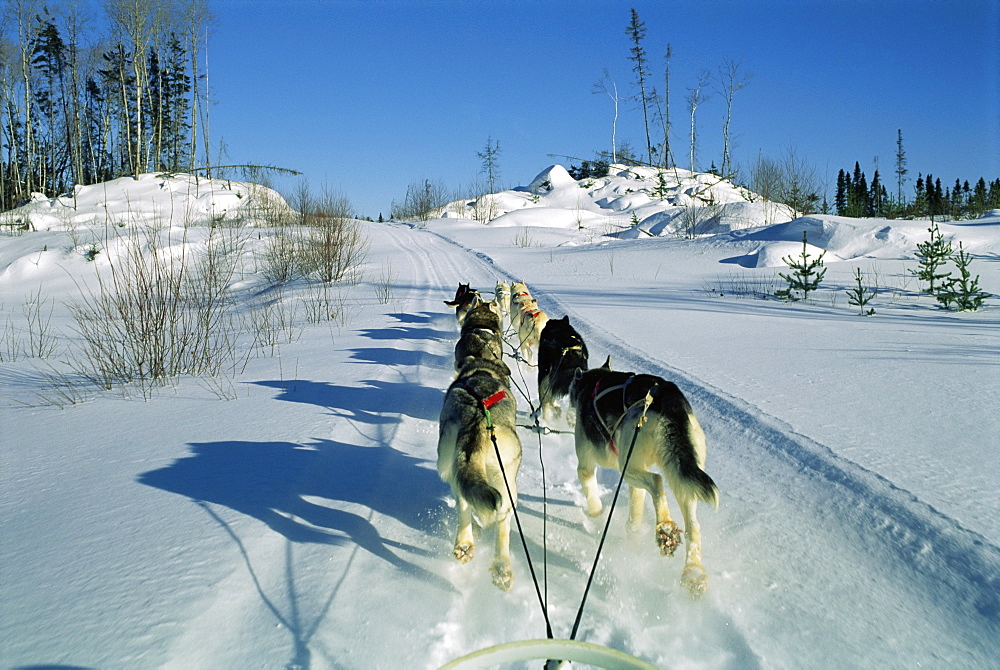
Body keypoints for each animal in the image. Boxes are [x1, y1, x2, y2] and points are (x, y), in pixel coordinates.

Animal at [438, 360, 524, 592]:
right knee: (503, 522)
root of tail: (477, 420)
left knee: (463, 504)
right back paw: (502, 567)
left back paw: (465, 544)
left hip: (451, 464)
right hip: (508, 482)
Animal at [572, 360, 720, 600]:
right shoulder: (636, 475)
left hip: (628, 464)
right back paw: (693, 572)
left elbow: (590, 489)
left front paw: (594, 513)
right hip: (679, 472)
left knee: (657, 481)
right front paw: (633, 536)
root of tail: (668, 395)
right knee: (693, 526)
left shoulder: (587, 464)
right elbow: (636, 509)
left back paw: (665, 528)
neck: (595, 383)